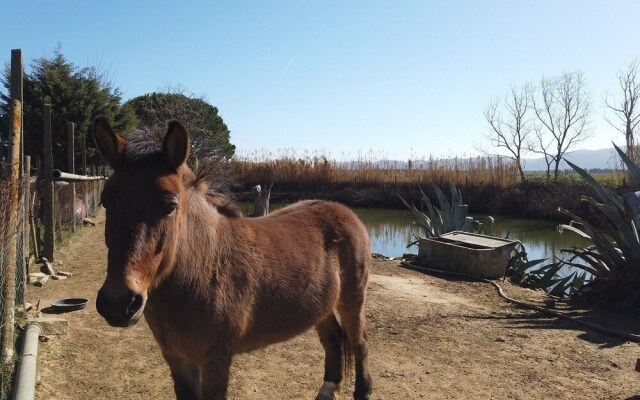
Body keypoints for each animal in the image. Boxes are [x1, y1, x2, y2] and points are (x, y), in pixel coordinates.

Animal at [95, 116, 376, 400]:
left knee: (360, 343)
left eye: (170, 206)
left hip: (352, 300)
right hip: (322, 305)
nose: (118, 304)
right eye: (106, 201)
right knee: (332, 339)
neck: (202, 272)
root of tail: (343, 210)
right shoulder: (176, 359)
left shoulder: (216, 360)